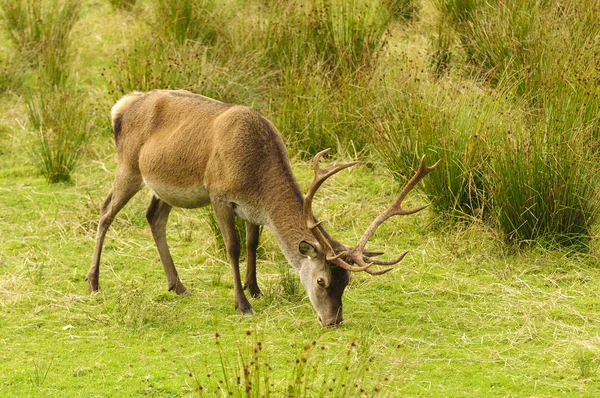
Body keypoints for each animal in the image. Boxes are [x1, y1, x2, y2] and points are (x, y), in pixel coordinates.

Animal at [86, 89, 438, 326]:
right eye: (322, 281)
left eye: (347, 282)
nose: (334, 321)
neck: (256, 175)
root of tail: (120, 107)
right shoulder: (219, 194)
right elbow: (232, 247)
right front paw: (242, 304)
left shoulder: (252, 210)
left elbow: (253, 245)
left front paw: (254, 289)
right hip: (128, 166)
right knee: (105, 211)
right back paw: (94, 282)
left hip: (161, 186)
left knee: (153, 217)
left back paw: (178, 285)